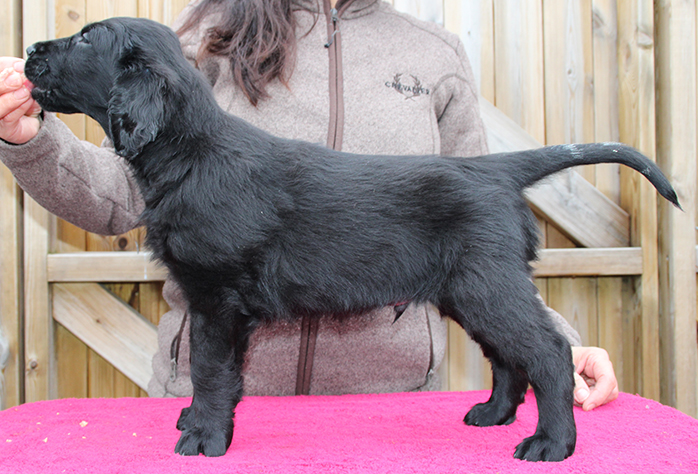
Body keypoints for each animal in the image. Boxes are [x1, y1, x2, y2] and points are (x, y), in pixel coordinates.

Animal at [24, 17, 680, 461]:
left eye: (85, 40)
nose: (29, 50)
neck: (190, 151)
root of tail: (492, 169)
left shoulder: (216, 299)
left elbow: (210, 371)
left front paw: (204, 438)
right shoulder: (220, 306)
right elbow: (223, 375)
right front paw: (197, 423)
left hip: (487, 286)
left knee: (547, 351)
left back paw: (552, 442)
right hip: (469, 292)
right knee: (507, 357)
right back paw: (493, 415)